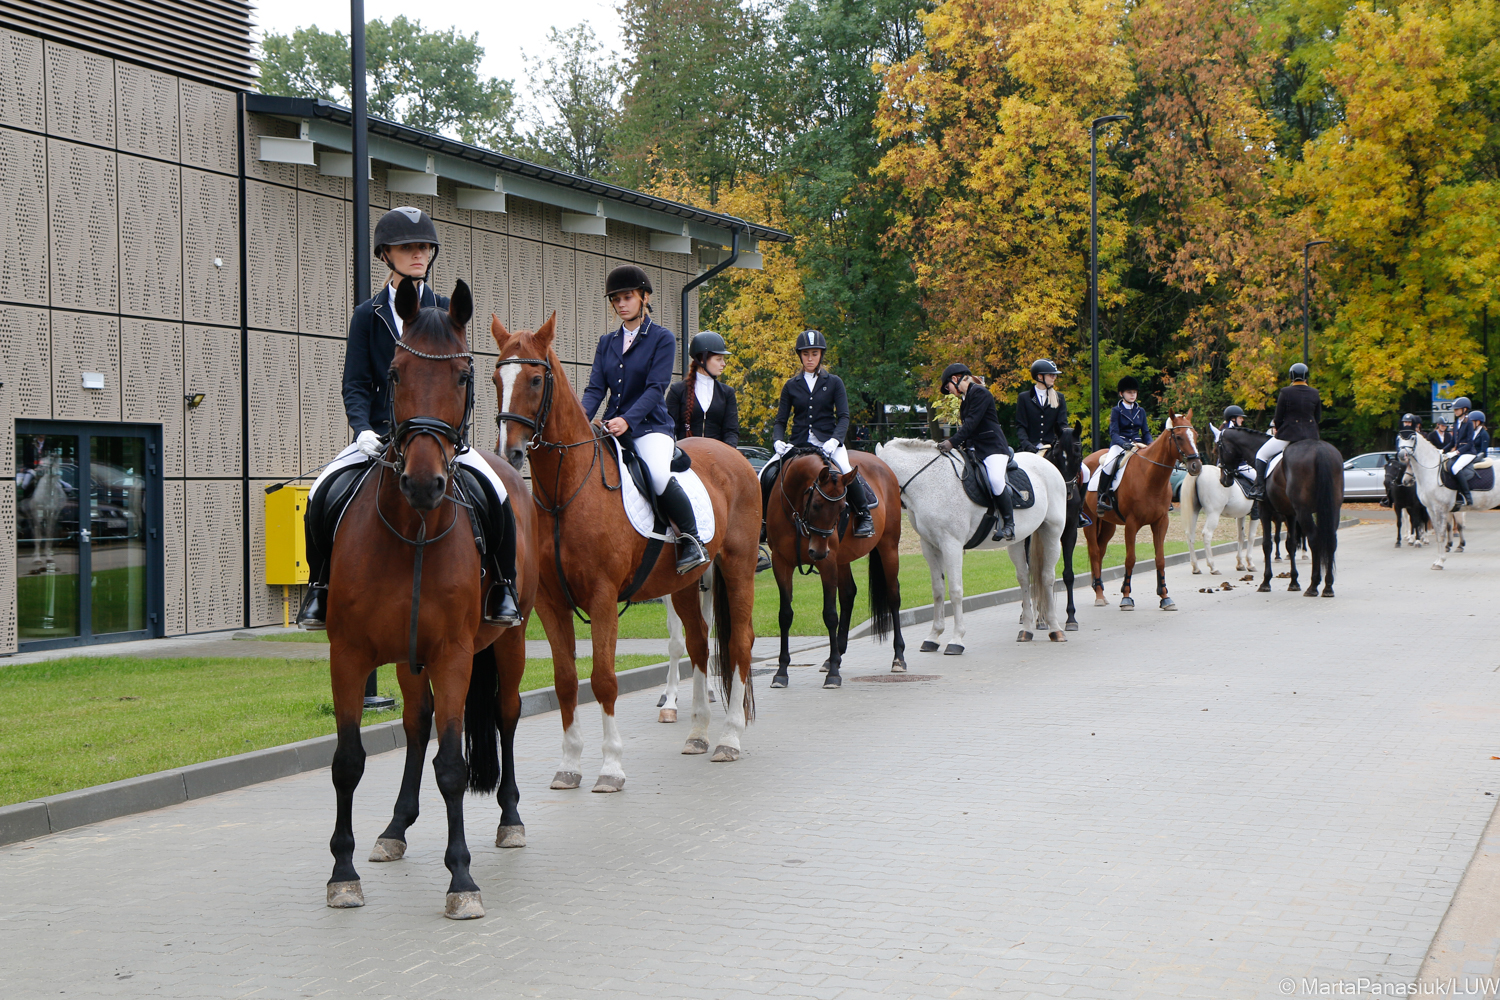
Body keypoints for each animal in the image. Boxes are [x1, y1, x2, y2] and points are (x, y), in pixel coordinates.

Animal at [322, 277, 540, 917]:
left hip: (509, 640)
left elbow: (453, 766)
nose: (424, 482)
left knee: (507, 715)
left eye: (465, 376)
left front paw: (461, 877)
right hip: (408, 658)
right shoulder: (350, 654)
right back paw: (395, 828)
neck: (412, 528)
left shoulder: (452, 654)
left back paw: (510, 819)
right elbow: (349, 761)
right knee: (417, 727)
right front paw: (342, 872)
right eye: (394, 373)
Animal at [492, 313, 762, 779]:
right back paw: (698, 733)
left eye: (535, 379)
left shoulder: (602, 597)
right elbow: (566, 680)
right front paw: (569, 764)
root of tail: (735, 455)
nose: (508, 453)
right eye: (495, 378)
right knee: (698, 643)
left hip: (737, 567)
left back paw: (729, 738)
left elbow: (603, 679)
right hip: (683, 584)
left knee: (739, 642)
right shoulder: (550, 601)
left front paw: (611, 768)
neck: (565, 493)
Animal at [768, 446, 906, 689]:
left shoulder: (828, 563)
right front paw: (781, 672)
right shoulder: (781, 563)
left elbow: (830, 614)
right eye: (816, 505)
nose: (817, 552)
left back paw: (898, 657)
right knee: (849, 594)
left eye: (843, 508)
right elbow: (785, 614)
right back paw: (837, 654)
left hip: (888, 547)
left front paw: (833, 674)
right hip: (843, 558)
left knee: (893, 596)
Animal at [1080, 413, 1206, 611]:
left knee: (1100, 551)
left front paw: (1165, 597)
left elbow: (1160, 559)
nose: (1196, 466)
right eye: (1178, 437)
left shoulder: (1161, 522)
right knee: (1094, 551)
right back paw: (1099, 595)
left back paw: (1099, 590)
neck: (1150, 476)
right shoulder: (1131, 524)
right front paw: (1126, 597)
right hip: (1091, 520)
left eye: (1195, 435)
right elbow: (1130, 559)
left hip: (1108, 524)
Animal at [1212, 428, 1344, 599]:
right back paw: (1328, 587)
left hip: (1304, 511)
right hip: (1332, 509)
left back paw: (1313, 586)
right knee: (1331, 540)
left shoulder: (1265, 512)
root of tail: (1320, 450)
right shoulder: (1291, 514)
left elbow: (1267, 544)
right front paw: (1294, 582)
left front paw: (1265, 582)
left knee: (1314, 539)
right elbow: (1291, 544)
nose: (1224, 480)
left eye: (1217, 449)